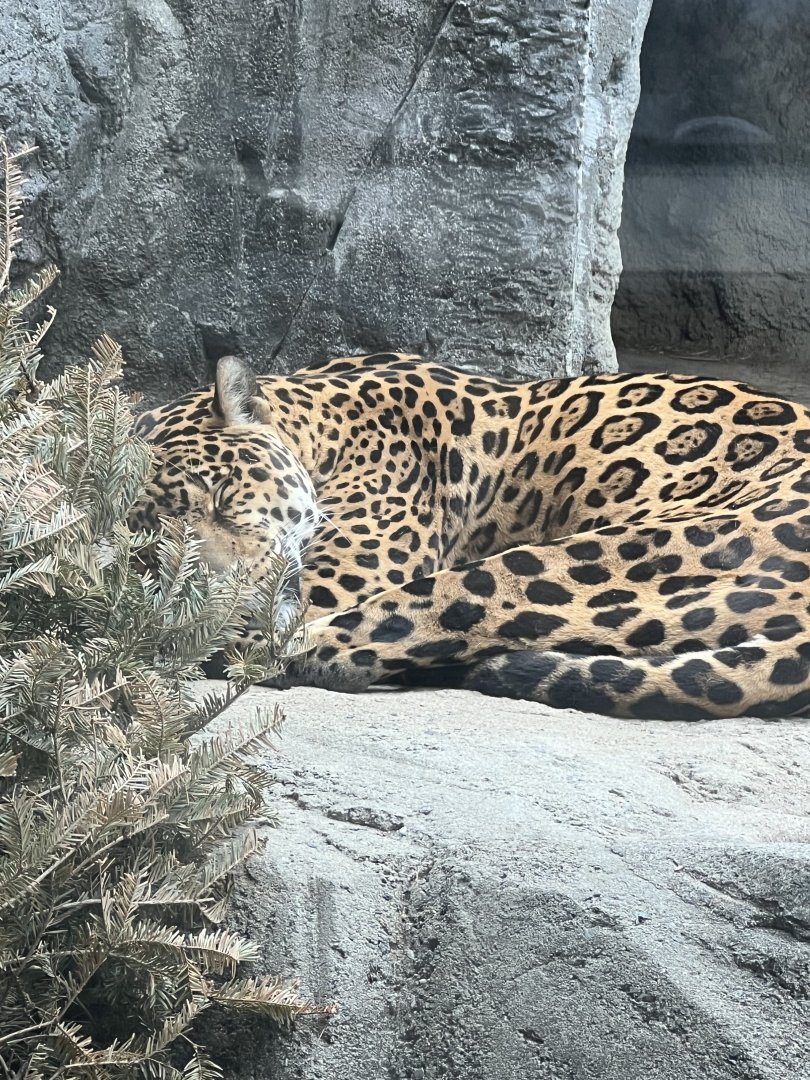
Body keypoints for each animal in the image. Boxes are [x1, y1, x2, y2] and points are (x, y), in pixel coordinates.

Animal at [132, 351, 810, 721]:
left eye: (224, 497)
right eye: (153, 554)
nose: (227, 608)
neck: (323, 425)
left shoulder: (343, 576)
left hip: (577, 561)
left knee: (347, 644)